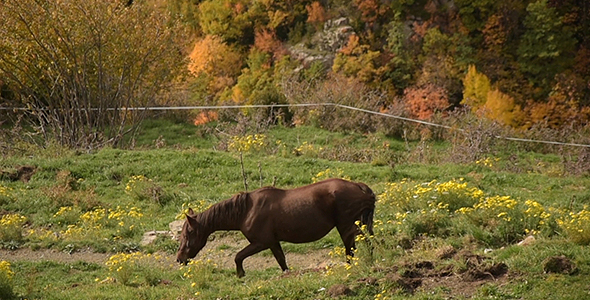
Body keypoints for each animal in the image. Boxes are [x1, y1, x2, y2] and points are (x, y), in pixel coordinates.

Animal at [178, 177, 376, 278]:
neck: (246, 210)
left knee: (351, 248)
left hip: (346, 226)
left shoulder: (261, 242)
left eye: (189, 233)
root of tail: (359, 186)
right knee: (369, 244)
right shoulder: (273, 242)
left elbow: (238, 256)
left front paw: (240, 274)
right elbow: (282, 261)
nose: (180, 259)